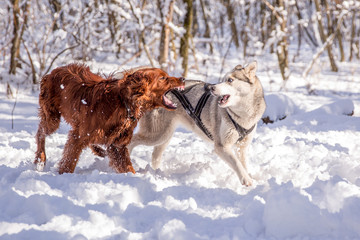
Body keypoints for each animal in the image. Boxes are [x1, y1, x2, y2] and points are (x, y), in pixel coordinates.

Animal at [34, 62, 184, 173]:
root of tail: (51, 73)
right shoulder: (78, 137)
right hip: (52, 118)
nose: (182, 78)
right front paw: (63, 175)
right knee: (40, 132)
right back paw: (40, 159)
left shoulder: (117, 145)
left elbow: (128, 168)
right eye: (162, 78)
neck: (123, 103)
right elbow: (69, 162)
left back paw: (99, 150)